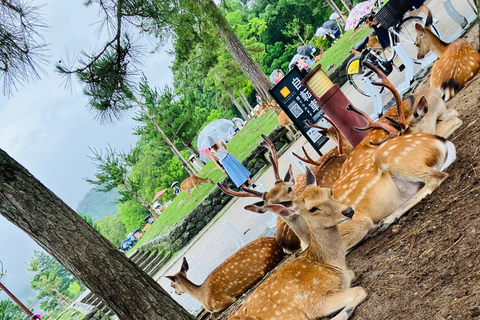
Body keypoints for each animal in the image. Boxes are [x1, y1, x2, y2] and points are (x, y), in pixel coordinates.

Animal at [227, 168, 366, 320]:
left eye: (329, 191)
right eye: (312, 208)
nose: (348, 211)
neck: (332, 264)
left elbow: (354, 275)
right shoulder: (314, 300)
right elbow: (360, 290)